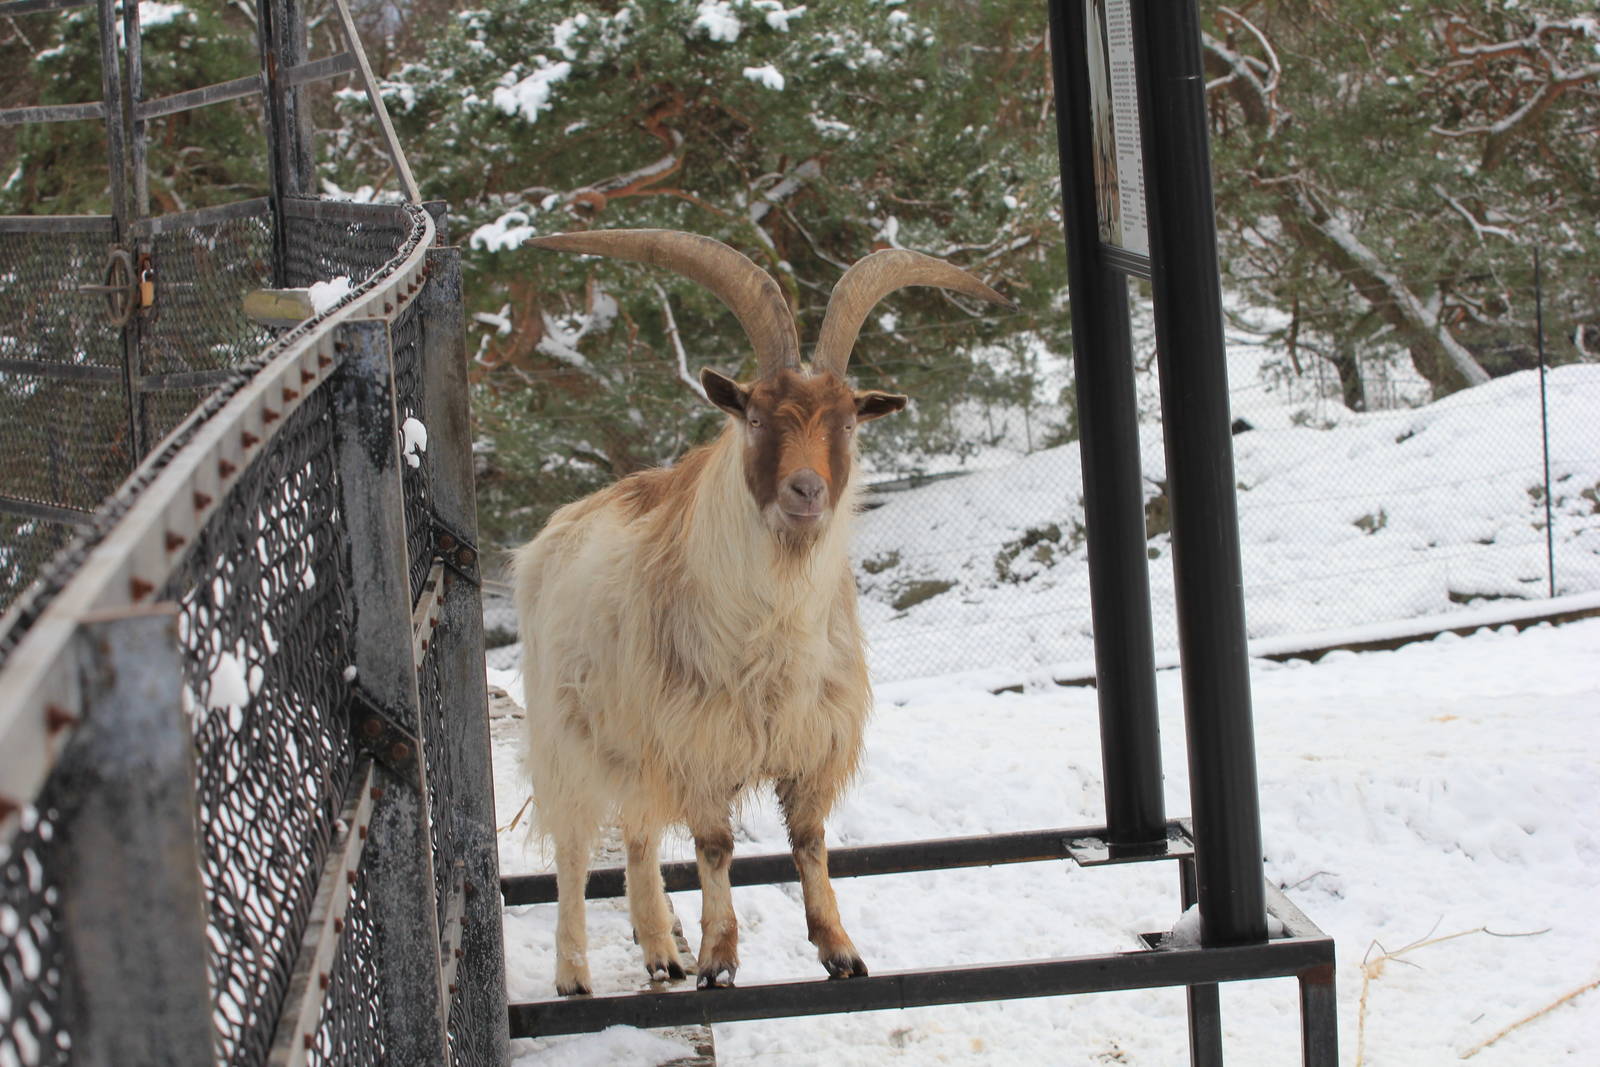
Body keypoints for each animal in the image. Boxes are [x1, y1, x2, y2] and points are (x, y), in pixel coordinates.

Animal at [512, 229, 1008, 994]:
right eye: (753, 416)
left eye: (846, 421)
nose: (807, 490)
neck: (775, 629)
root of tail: (549, 537)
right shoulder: (697, 739)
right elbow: (715, 845)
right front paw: (719, 959)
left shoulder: (811, 741)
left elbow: (808, 840)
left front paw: (840, 949)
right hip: (567, 733)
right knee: (573, 847)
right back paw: (575, 974)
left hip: (634, 745)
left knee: (637, 832)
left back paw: (660, 950)